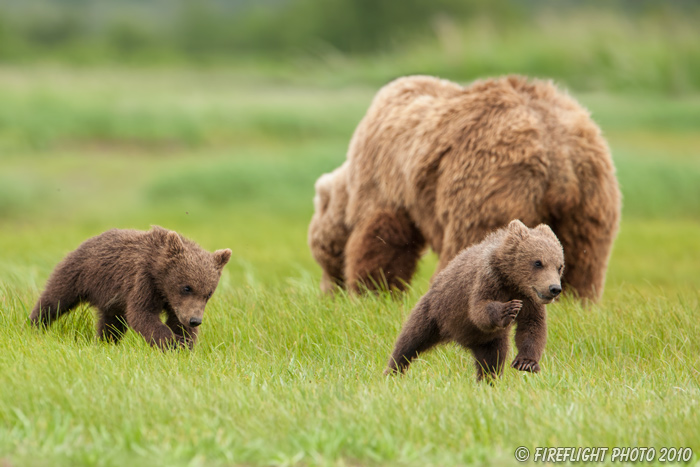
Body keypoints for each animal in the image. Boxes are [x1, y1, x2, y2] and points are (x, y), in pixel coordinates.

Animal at [308, 75, 620, 302]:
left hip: (489, 185)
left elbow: (381, 239)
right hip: (592, 197)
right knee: (584, 256)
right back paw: (575, 301)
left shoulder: (384, 181)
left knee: (472, 243)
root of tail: (556, 151)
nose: (326, 293)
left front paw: (371, 291)